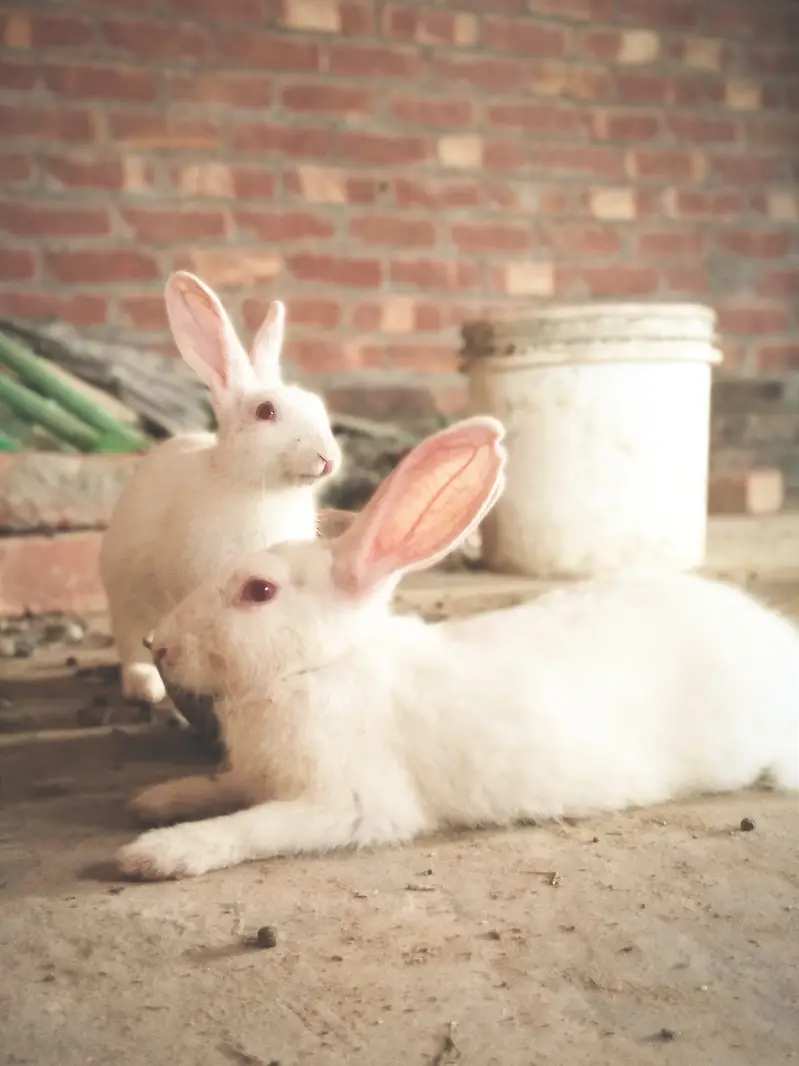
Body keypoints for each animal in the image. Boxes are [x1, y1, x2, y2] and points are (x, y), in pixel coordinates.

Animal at [100, 270, 342, 710]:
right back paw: (147, 686)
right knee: (130, 646)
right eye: (266, 412)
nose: (327, 457)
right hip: (127, 597)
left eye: (317, 404)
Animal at [115, 416, 799, 881]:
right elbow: (223, 787)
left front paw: (159, 853)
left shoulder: (350, 805)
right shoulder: (256, 776)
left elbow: (254, 825)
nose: (160, 645)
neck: (323, 664)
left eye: (258, 591)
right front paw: (159, 800)